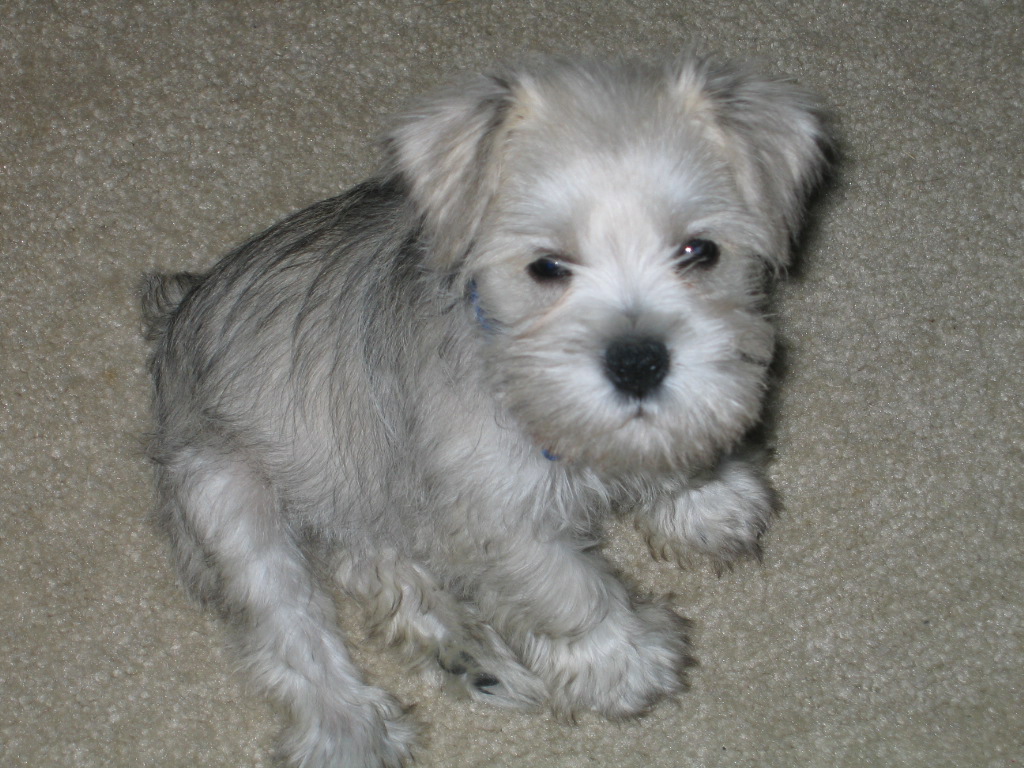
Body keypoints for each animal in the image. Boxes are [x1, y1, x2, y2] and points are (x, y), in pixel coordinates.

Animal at [144, 55, 827, 768]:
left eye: (700, 251)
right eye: (546, 266)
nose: (639, 363)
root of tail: (174, 311)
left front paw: (707, 502)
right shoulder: (496, 512)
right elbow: (567, 589)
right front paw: (623, 662)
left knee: (375, 559)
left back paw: (469, 656)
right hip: (227, 499)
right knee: (290, 624)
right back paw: (354, 727)